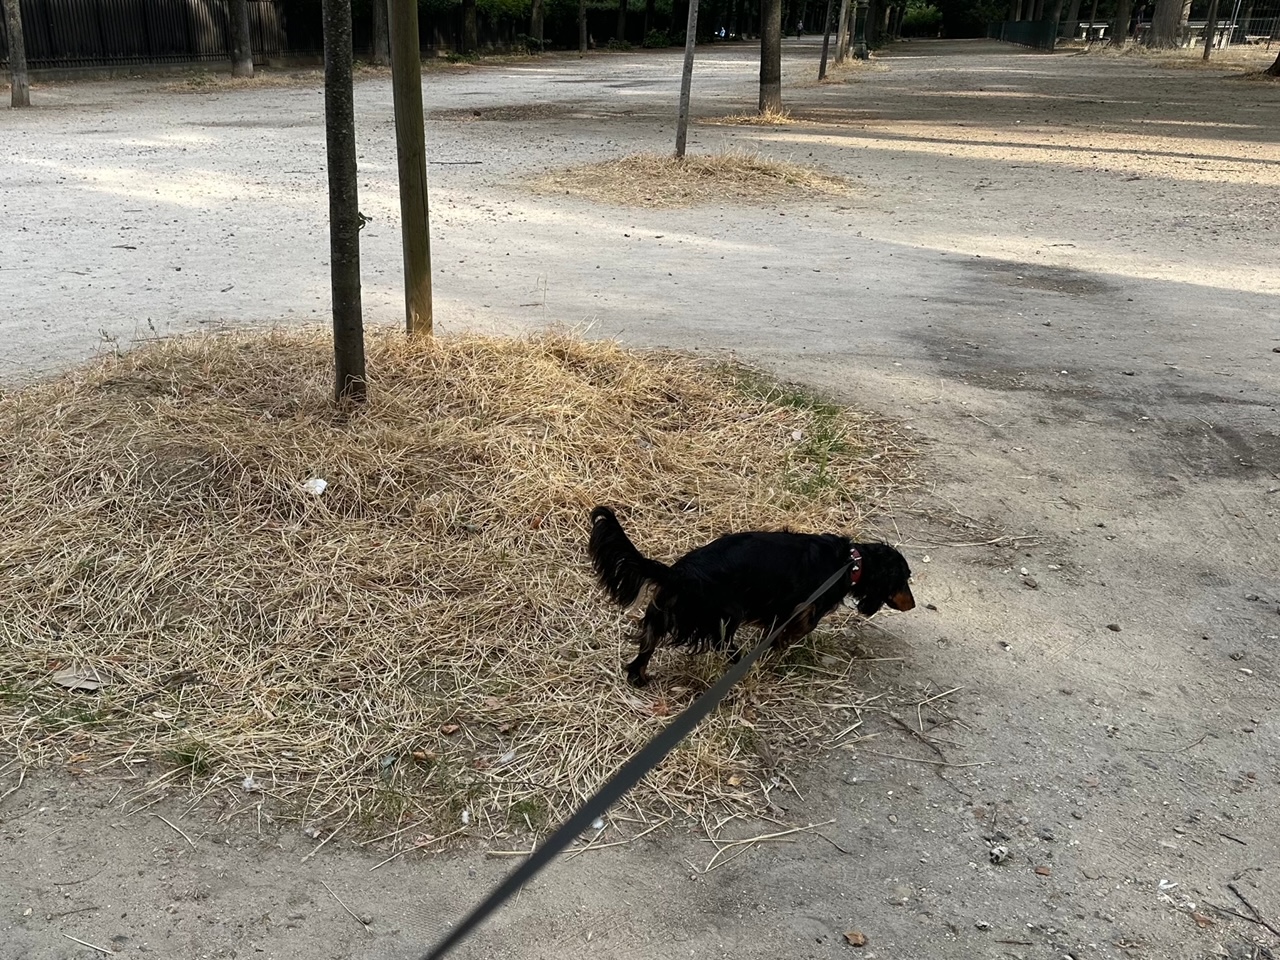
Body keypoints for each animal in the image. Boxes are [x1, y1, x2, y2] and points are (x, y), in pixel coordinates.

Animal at [586, 506, 916, 686]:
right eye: (905, 580)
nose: (912, 605)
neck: (850, 561)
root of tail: (678, 573)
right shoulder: (802, 608)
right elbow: (793, 630)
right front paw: (778, 649)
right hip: (727, 613)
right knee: (722, 644)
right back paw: (740, 661)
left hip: (661, 615)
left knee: (644, 651)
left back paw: (639, 678)